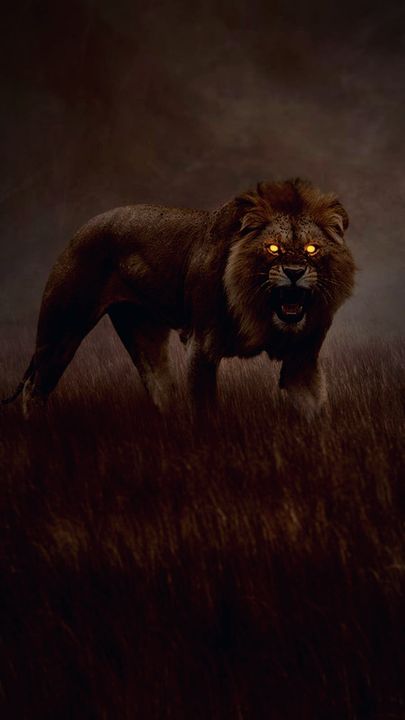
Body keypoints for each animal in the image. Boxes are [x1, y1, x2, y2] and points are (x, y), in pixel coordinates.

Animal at [4, 179, 355, 419]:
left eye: (311, 248)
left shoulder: (302, 360)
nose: (295, 272)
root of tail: (83, 228)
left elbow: (318, 414)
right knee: (34, 389)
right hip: (61, 332)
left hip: (145, 338)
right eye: (272, 248)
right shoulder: (202, 347)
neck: (258, 307)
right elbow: (205, 413)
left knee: (162, 392)